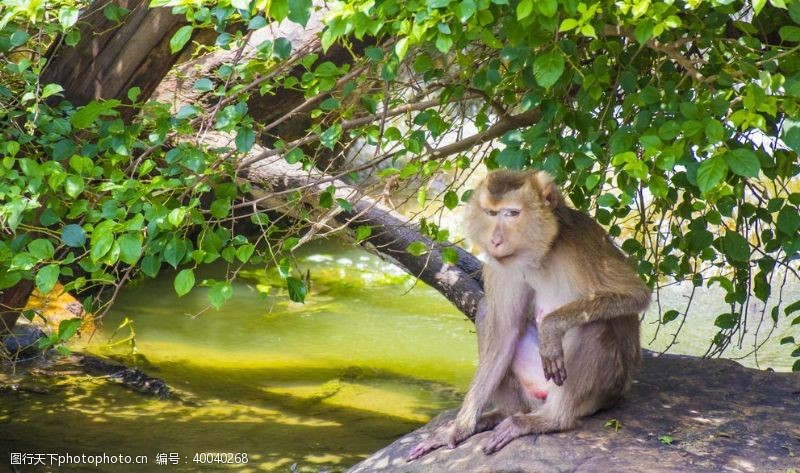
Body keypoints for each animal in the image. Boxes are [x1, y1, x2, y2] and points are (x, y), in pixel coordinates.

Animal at [406, 169, 648, 458]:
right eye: (491, 213)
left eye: (512, 213)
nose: (495, 240)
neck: (542, 253)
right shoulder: (502, 267)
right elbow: (504, 331)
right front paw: (458, 429)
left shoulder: (582, 244)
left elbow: (635, 295)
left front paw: (551, 328)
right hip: (531, 388)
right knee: (487, 311)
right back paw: (505, 414)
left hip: (602, 393)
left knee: (592, 326)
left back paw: (552, 419)